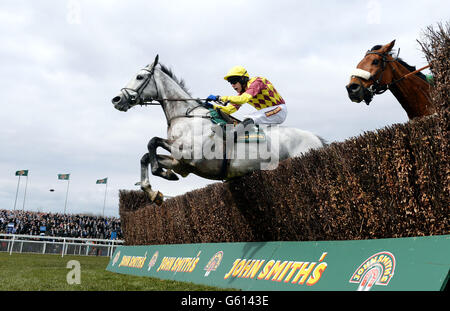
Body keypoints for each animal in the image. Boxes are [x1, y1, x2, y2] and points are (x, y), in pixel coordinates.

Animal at [111, 56, 326, 206]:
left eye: (139, 77)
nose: (116, 99)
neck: (186, 116)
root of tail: (318, 140)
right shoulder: (180, 162)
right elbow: (146, 156)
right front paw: (154, 191)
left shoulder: (192, 154)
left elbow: (152, 142)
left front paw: (161, 173)